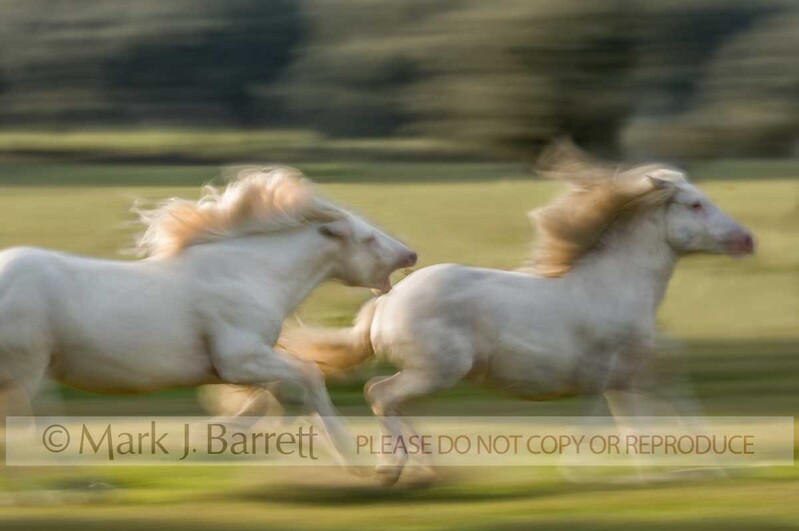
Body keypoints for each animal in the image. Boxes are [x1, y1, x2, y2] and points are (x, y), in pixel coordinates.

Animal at [0, 166, 417, 460]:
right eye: (367, 238)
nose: (410, 255)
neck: (250, 274)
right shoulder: (239, 358)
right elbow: (308, 376)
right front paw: (356, 460)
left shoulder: (239, 365)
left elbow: (279, 391)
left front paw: (226, 432)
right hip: (26, 372)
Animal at [269, 145, 755, 484]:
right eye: (695, 204)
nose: (747, 240)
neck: (617, 286)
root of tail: (385, 302)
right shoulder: (620, 374)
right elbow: (631, 424)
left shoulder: (629, 376)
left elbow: (655, 415)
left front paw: (697, 471)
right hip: (437, 371)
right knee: (381, 394)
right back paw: (395, 470)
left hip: (431, 374)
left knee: (389, 398)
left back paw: (430, 470)